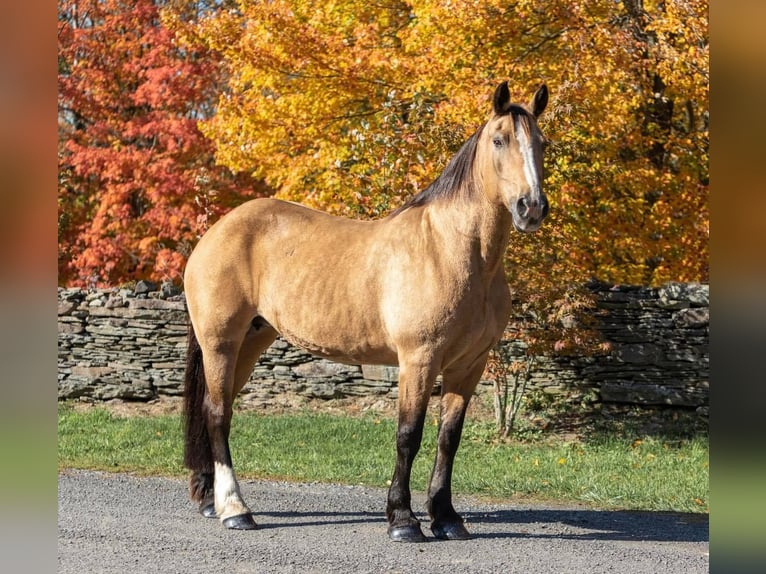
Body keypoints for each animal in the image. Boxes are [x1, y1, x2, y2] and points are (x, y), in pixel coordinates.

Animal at [183, 81, 548, 544]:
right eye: (499, 140)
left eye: (542, 143)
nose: (530, 207)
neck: (452, 251)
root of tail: (215, 232)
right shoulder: (419, 359)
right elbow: (408, 435)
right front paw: (403, 520)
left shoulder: (469, 365)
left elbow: (449, 439)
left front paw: (446, 518)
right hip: (221, 342)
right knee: (217, 414)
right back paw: (234, 509)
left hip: (252, 339)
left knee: (214, 408)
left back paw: (208, 499)